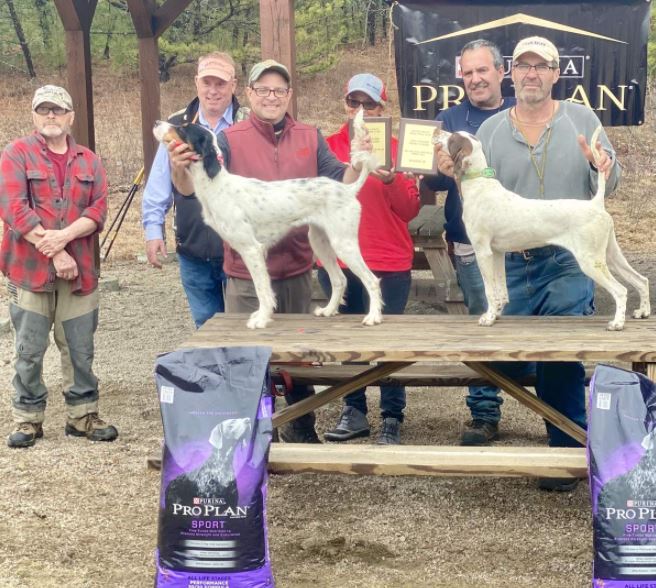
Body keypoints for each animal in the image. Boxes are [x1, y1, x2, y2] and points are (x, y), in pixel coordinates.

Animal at [154, 111, 382, 330]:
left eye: (183, 128)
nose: (156, 122)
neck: (216, 184)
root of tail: (347, 189)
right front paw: (262, 316)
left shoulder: (252, 250)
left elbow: (262, 289)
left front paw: (262, 319)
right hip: (320, 243)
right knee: (340, 279)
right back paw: (328, 310)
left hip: (343, 243)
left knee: (371, 280)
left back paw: (373, 317)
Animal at [434, 129, 648, 330]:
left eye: (452, 138)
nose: (437, 131)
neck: (480, 185)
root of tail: (595, 204)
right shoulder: (497, 253)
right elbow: (501, 291)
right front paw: (496, 314)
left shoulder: (483, 252)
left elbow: (489, 290)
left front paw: (488, 318)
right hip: (610, 256)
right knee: (641, 280)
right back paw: (642, 312)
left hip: (590, 261)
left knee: (620, 290)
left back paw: (617, 323)